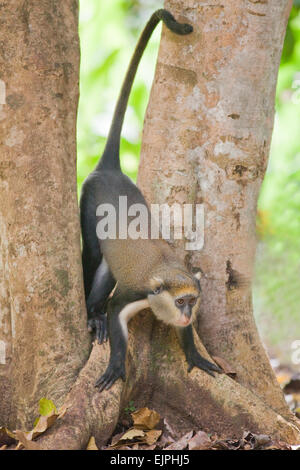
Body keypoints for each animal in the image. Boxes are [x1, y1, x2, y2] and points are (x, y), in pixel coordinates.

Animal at [80, 9, 223, 392]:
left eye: (191, 301)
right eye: (181, 301)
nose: (188, 313)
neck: (166, 272)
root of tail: (109, 170)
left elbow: (184, 336)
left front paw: (194, 354)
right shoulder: (135, 293)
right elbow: (116, 314)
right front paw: (116, 365)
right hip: (87, 202)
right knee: (94, 257)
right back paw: (93, 314)